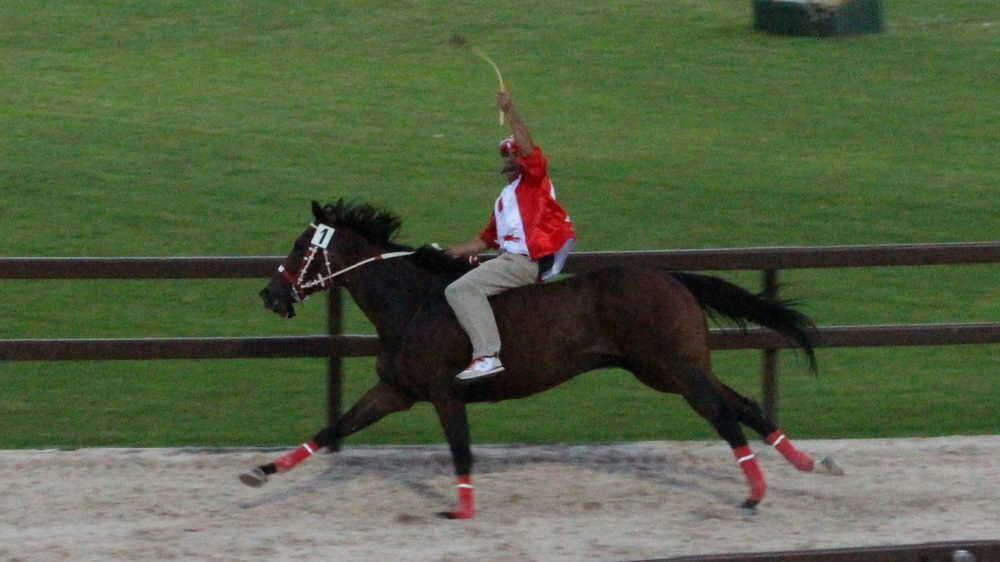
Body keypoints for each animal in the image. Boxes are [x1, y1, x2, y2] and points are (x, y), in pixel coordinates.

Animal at [242, 197, 844, 516]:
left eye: (301, 247)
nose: (270, 295)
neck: (412, 303)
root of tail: (671, 278)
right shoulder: (396, 390)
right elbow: (333, 427)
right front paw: (262, 471)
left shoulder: (443, 392)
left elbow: (461, 450)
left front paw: (461, 508)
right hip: (670, 368)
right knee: (743, 404)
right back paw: (809, 463)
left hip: (672, 368)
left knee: (722, 413)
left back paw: (756, 492)